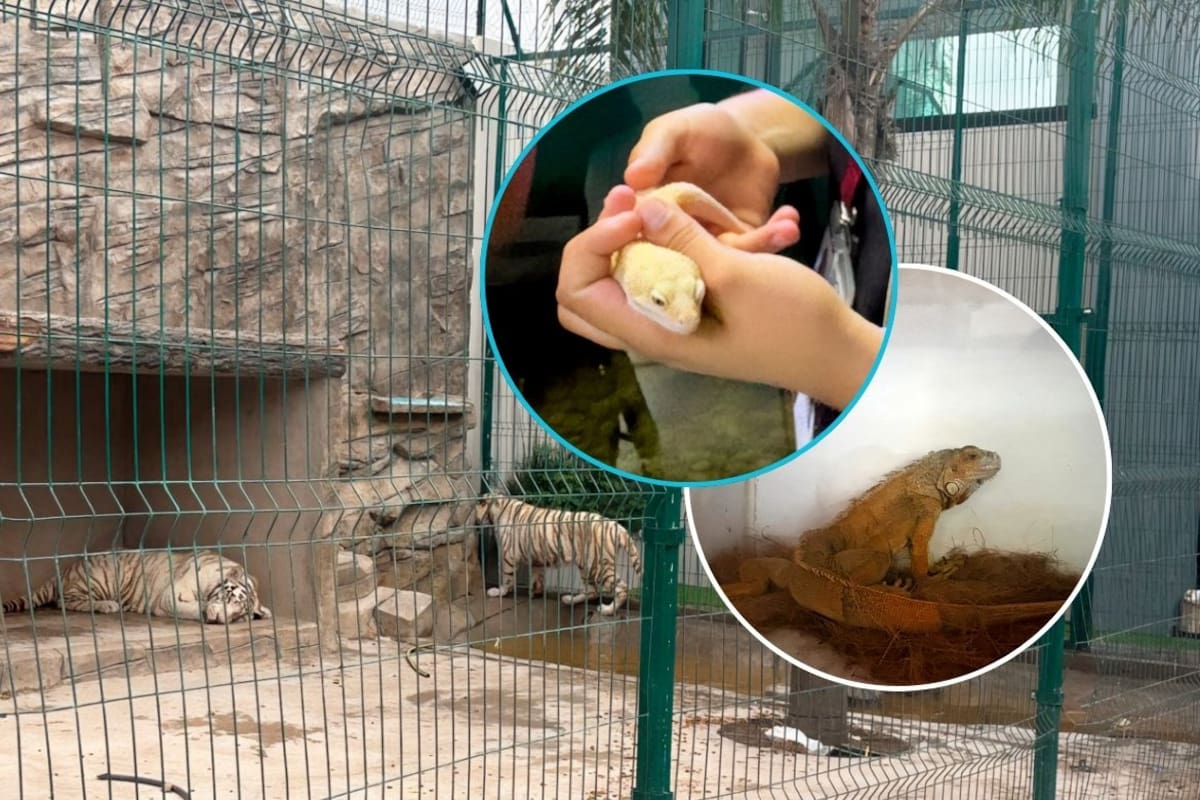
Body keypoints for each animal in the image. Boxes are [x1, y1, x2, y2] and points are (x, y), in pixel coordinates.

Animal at [2, 549, 272, 624]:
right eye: (231, 600)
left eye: (240, 616)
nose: (222, 620)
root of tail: (65, 570)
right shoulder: (170, 597)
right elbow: (193, 607)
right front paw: (206, 611)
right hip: (102, 576)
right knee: (64, 601)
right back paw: (108, 605)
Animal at [476, 493, 644, 615]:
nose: (475, 522)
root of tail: (616, 525)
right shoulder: (537, 558)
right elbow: (537, 576)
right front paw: (535, 591)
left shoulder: (508, 556)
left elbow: (507, 578)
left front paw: (499, 592)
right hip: (586, 565)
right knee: (592, 591)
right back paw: (568, 600)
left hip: (598, 566)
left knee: (621, 588)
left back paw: (607, 610)